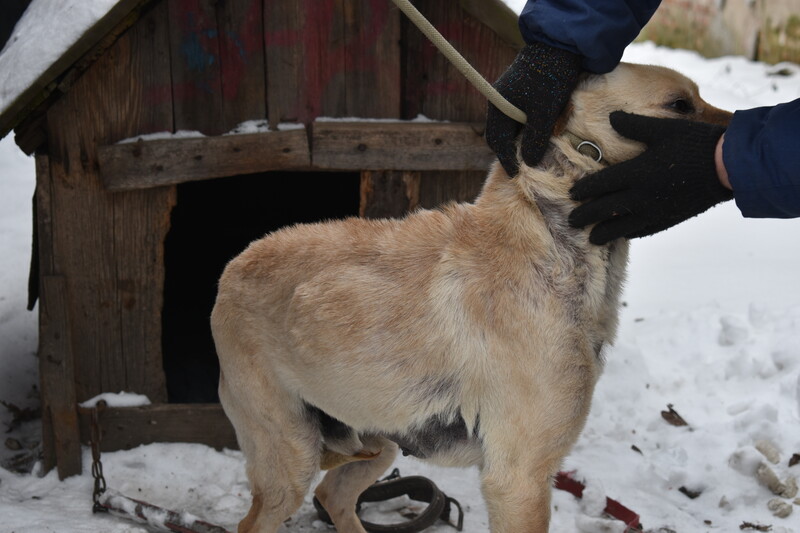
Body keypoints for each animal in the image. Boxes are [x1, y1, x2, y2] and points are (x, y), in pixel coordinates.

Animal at [211, 63, 732, 532]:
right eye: (680, 105)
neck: (551, 241)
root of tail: (231, 271)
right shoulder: (518, 479)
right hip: (289, 455)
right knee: (261, 518)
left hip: (377, 436)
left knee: (334, 496)